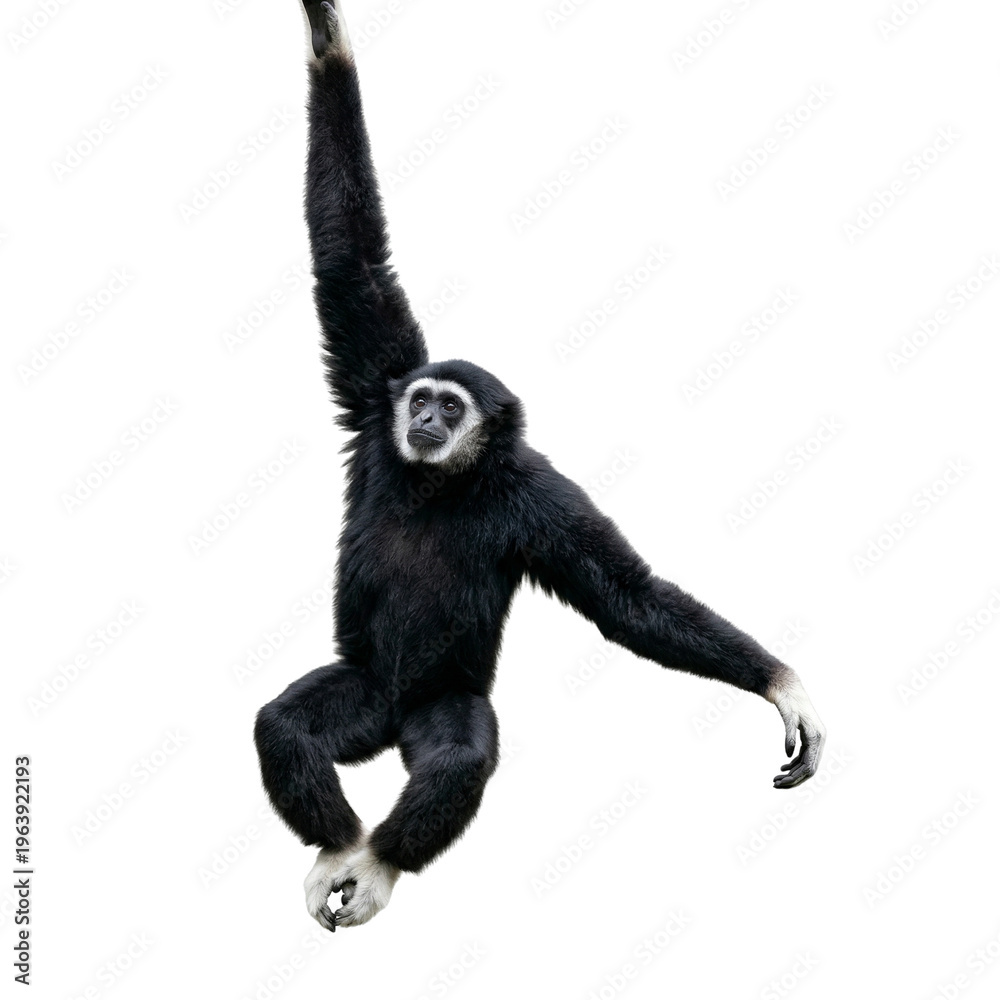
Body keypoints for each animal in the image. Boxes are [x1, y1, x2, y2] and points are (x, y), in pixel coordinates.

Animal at [253, 0, 826, 931]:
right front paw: (326, 42)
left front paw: (782, 685)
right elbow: (349, 263)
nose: (425, 417)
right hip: (363, 687)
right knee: (286, 726)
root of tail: (390, 719)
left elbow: (628, 597)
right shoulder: (376, 397)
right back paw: (341, 846)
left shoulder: (539, 499)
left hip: (441, 698)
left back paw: (374, 862)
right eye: (424, 399)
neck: (442, 479)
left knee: (455, 758)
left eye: (453, 408)